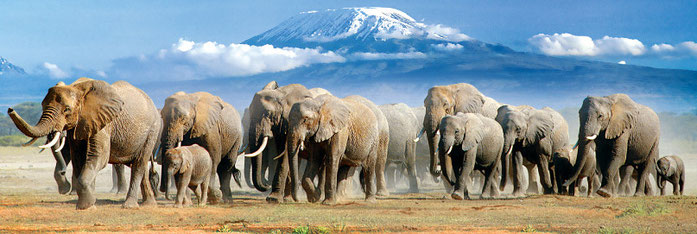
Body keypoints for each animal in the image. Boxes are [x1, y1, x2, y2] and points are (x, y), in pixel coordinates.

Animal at [7, 77, 160, 209]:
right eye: (42, 106)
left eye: (67, 109)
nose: (10, 109)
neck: (78, 88)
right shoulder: (78, 125)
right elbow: (79, 158)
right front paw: (89, 204)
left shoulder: (103, 122)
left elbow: (98, 157)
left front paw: (86, 206)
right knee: (140, 166)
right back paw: (149, 204)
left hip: (152, 130)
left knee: (139, 164)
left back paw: (129, 206)